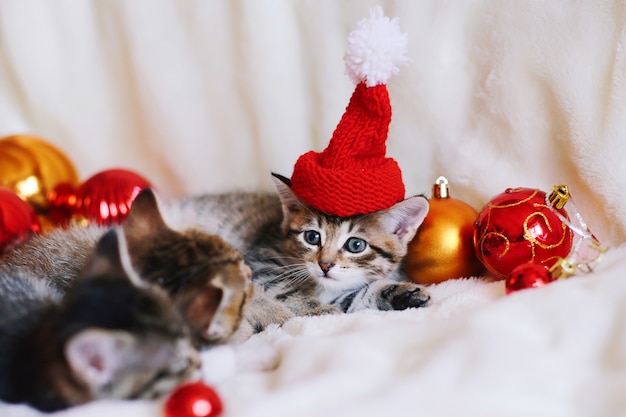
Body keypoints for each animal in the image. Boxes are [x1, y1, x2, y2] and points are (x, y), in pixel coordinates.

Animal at [163, 173, 432, 316]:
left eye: (356, 245)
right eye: (312, 237)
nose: (325, 265)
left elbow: (356, 298)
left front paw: (401, 294)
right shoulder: (260, 260)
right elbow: (288, 288)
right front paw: (318, 310)